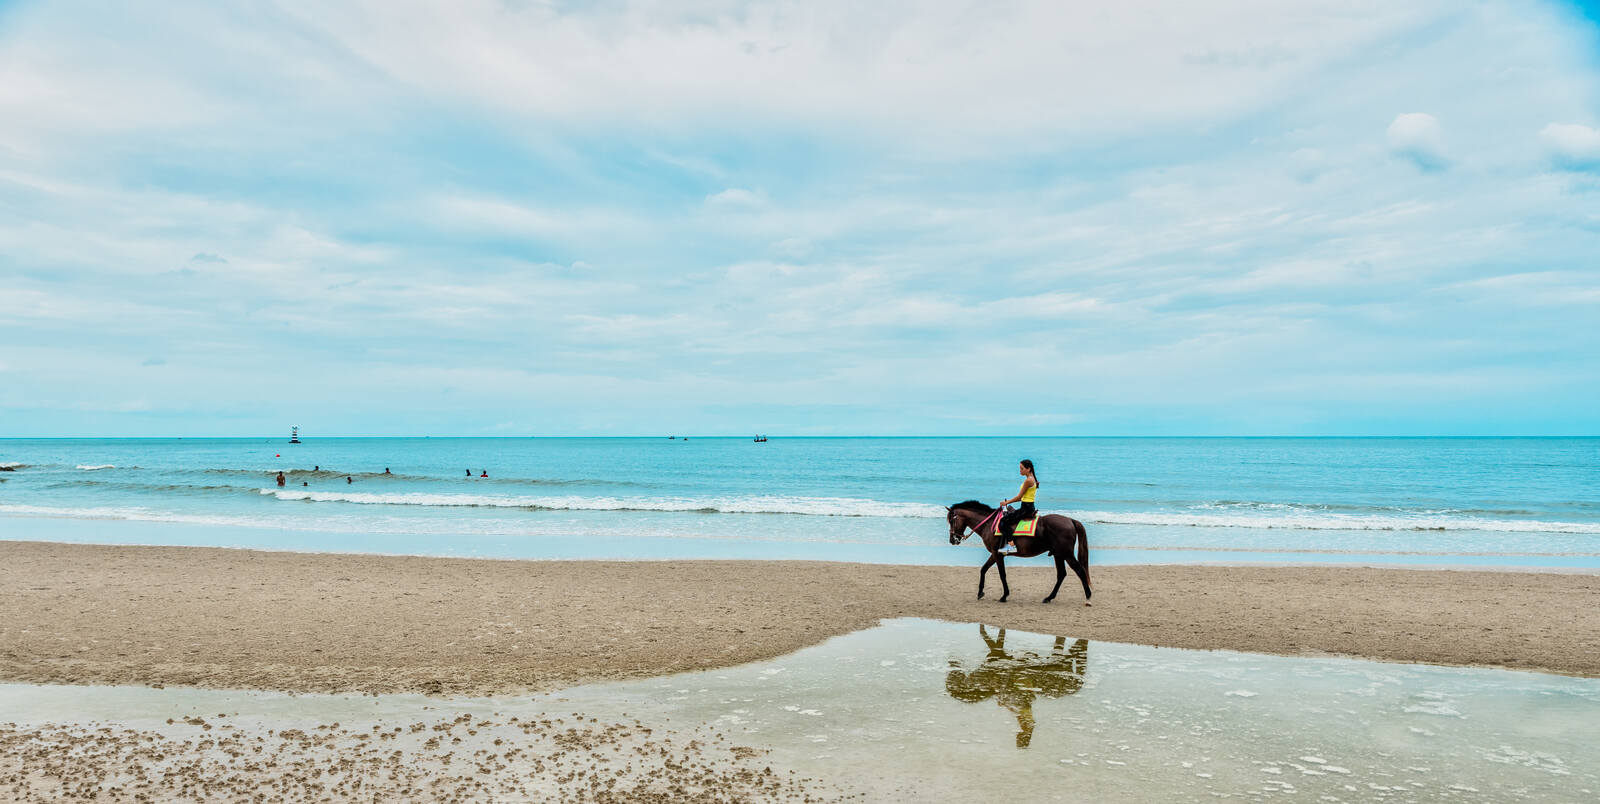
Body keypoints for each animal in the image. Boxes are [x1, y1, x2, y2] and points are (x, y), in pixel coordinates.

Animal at [947, 499, 1088, 605]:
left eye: (951, 521)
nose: (953, 540)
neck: (989, 524)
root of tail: (1070, 520)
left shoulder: (997, 554)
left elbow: (1002, 574)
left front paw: (1004, 596)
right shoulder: (995, 554)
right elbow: (983, 569)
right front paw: (980, 592)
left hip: (1066, 554)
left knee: (1080, 571)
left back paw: (1088, 598)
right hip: (1058, 554)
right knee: (1061, 574)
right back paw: (1049, 598)